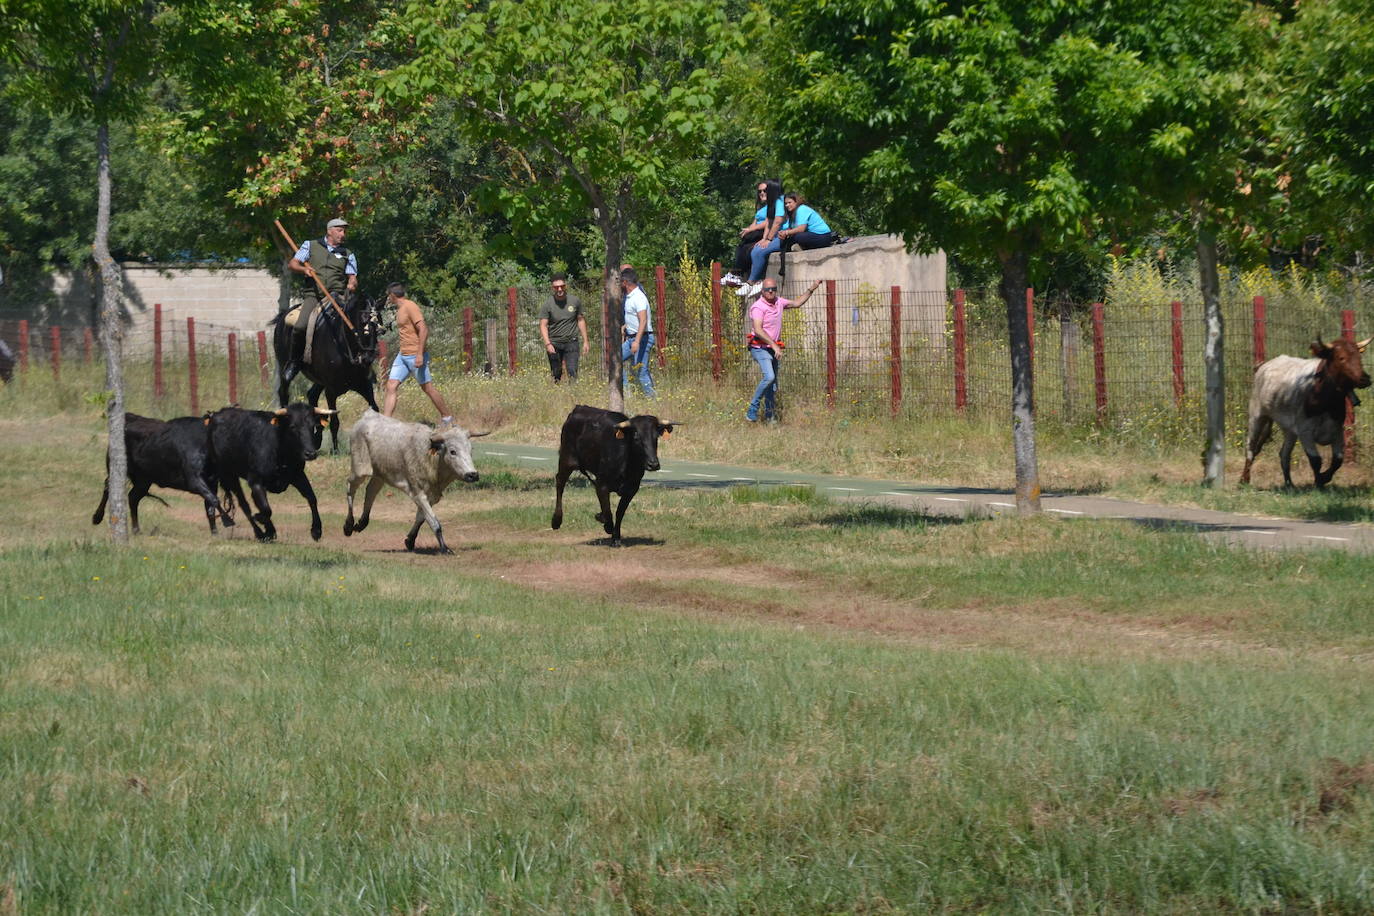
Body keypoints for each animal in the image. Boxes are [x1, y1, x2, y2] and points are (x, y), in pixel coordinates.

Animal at [269, 293, 381, 450]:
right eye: (362, 323)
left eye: (378, 326)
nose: (368, 358)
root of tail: (282, 317)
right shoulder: (331, 391)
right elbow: (334, 422)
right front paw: (335, 449)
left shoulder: (364, 385)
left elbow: (375, 409)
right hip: (284, 365)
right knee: (284, 391)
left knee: (312, 395)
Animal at [343, 414, 489, 554]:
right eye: (453, 451)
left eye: (470, 450)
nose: (472, 474)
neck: (431, 459)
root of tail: (367, 416)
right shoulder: (418, 494)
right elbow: (434, 523)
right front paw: (445, 548)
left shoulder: (431, 496)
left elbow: (421, 518)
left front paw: (410, 540)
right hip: (359, 470)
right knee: (351, 488)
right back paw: (349, 525)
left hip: (380, 475)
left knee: (370, 491)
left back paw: (362, 523)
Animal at [1242, 336, 1368, 491]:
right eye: (1341, 358)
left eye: (1359, 357)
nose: (1365, 379)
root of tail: (1263, 366)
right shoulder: (1305, 432)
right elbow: (1316, 460)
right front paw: (1318, 482)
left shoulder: (1337, 430)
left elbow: (1337, 460)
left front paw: (1324, 478)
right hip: (1257, 416)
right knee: (1251, 447)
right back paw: (1244, 480)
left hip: (1289, 430)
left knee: (1284, 454)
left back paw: (1289, 485)